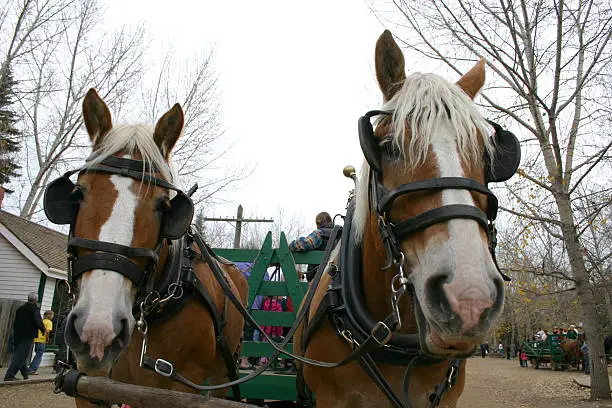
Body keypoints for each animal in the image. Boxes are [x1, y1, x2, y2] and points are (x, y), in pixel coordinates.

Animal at [53, 91, 249, 406]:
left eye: (163, 205)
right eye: (77, 193)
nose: (98, 331)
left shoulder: (180, 389)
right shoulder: (87, 385)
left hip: (221, 374)